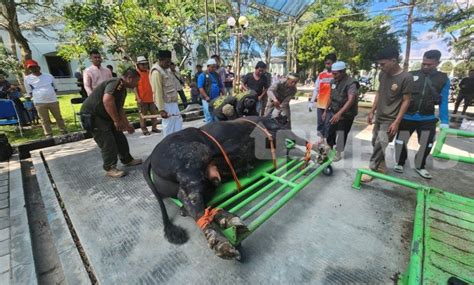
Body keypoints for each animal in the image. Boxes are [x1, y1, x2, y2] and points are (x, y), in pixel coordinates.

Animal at [142, 115, 326, 260]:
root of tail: (151, 155)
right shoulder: (278, 131)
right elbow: (298, 139)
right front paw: (322, 149)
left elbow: (296, 150)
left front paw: (317, 155)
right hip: (192, 162)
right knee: (192, 201)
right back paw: (221, 243)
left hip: (206, 183)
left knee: (192, 202)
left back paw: (229, 220)